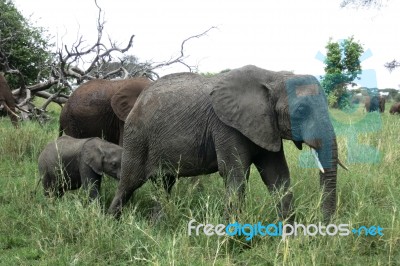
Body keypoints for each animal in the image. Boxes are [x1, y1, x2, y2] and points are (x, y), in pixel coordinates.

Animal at [108, 64, 340, 220]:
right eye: (300, 111)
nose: (323, 226)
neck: (272, 76)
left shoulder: (267, 126)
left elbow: (277, 175)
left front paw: (288, 237)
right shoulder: (225, 125)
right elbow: (234, 175)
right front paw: (233, 240)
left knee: (163, 184)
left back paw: (157, 224)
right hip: (136, 136)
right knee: (129, 183)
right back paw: (112, 223)